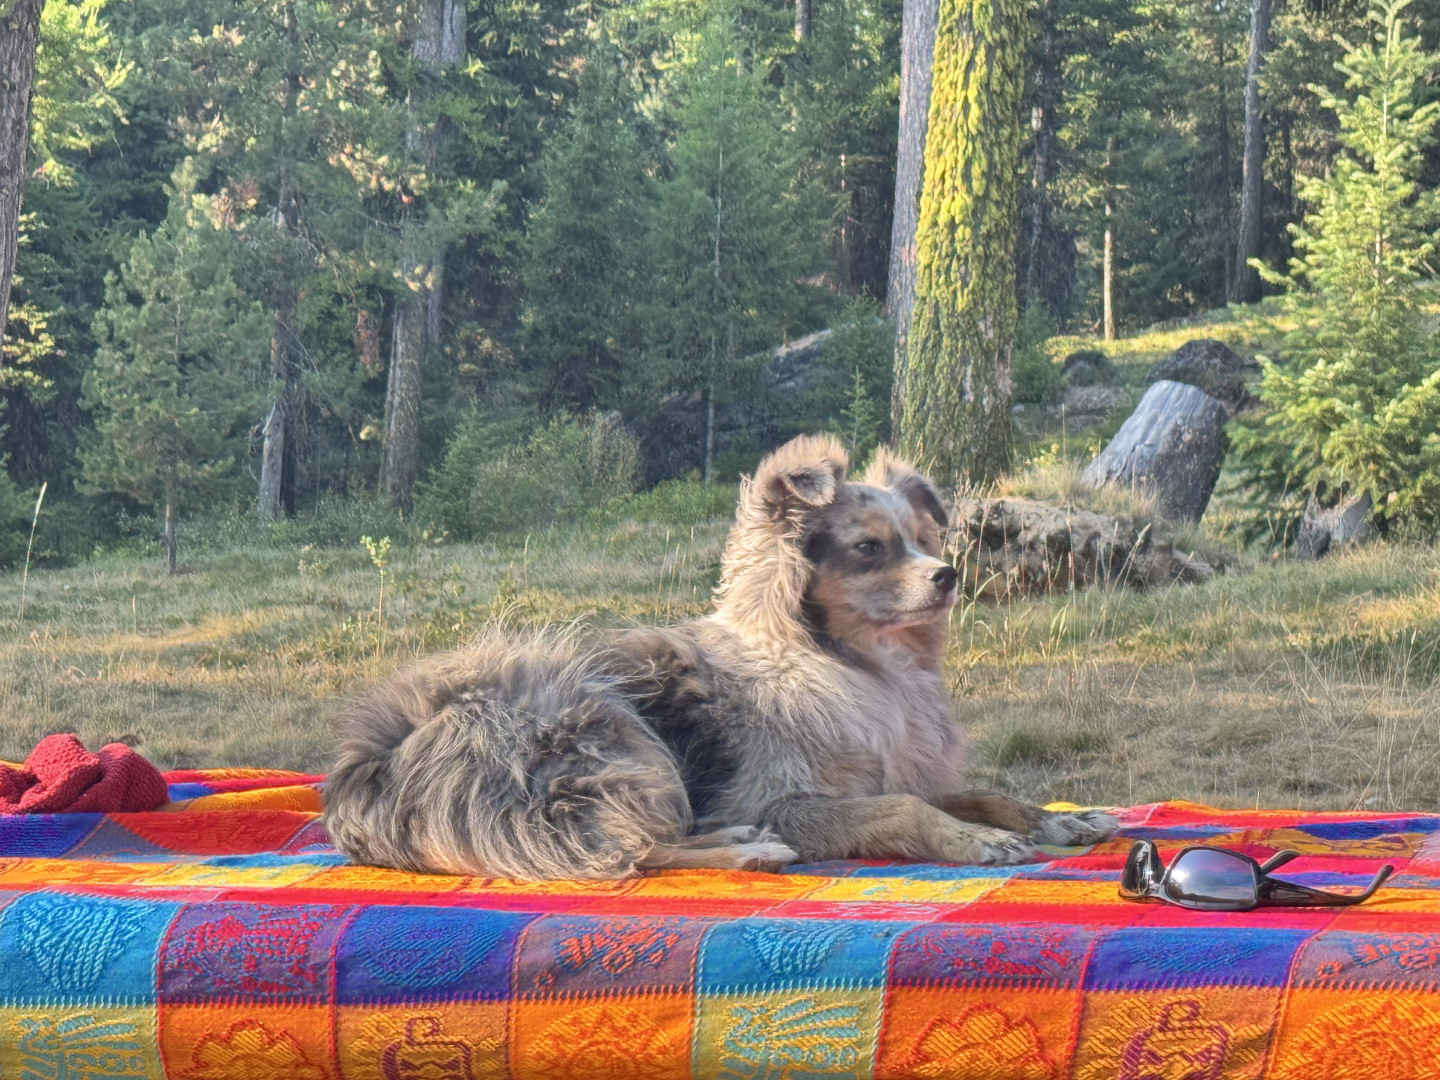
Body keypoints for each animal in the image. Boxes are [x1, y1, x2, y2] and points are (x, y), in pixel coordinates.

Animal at [322, 435, 1117, 879]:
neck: (855, 666)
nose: (946, 576)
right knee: (622, 855)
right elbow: (905, 809)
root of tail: (376, 760)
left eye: (923, 540)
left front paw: (1053, 820)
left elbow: (975, 792)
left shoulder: (882, 769)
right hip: (610, 732)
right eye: (868, 548)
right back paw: (745, 850)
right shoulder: (784, 797)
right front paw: (976, 841)